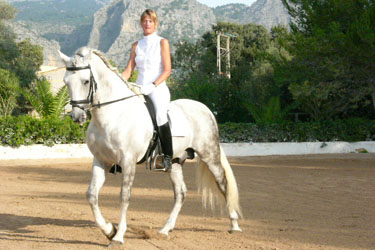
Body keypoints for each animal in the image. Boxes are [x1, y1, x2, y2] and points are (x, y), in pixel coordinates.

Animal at [58, 47, 241, 246]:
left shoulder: (128, 161)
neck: (112, 115)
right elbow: (91, 195)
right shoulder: (101, 160)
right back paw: (165, 229)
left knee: (223, 184)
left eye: (85, 81)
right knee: (181, 193)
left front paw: (119, 236)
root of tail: (205, 109)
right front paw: (109, 230)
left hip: (210, 155)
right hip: (176, 161)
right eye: (66, 82)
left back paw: (234, 226)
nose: (77, 117)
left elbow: (124, 197)